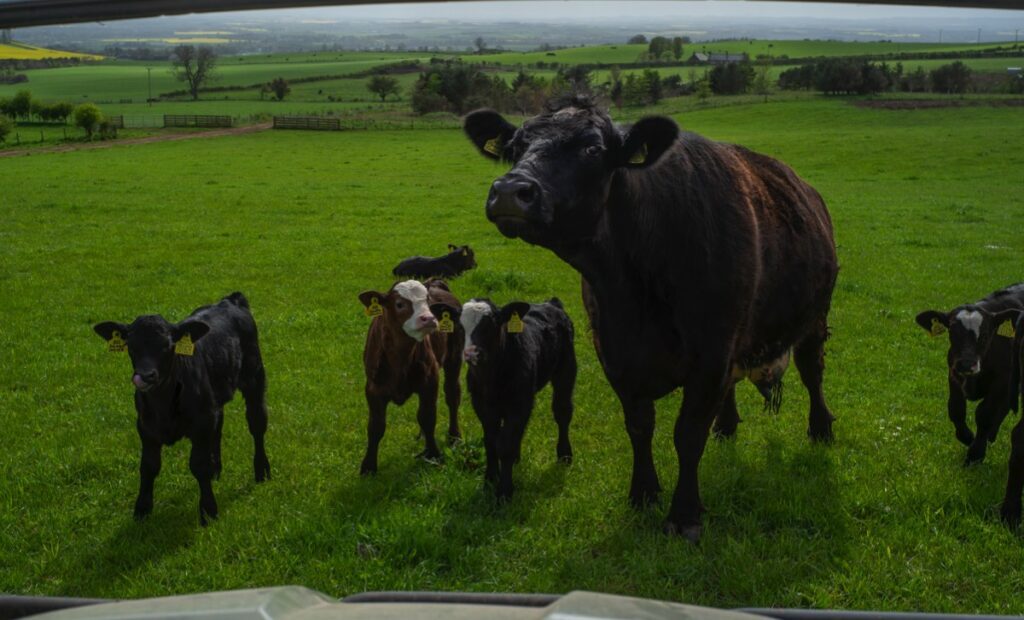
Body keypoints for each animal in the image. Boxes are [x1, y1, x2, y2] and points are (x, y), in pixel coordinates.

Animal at [93, 293, 270, 524]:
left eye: (167, 346)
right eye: (131, 346)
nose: (145, 375)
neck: (163, 404)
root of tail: (230, 300)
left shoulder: (201, 423)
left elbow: (198, 465)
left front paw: (208, 510)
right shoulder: (145, 426)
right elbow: (148, 466)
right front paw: (142, 509)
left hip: (254, 376)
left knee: (257, 423)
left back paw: (262, 470)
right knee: (219, 426)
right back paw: (217, 469)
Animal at [356, 278, 460, 471]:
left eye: (428, 301)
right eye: (399, 304)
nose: (429, 319)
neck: (400, 358)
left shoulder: (430, 381)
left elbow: (427, 417)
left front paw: (433, 454)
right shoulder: (373, 388)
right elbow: (375, 426)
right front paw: (368, 466)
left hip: (454, 358)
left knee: (453, 395)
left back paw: (454, 437)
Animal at [430, 297, 577, 500]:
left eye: (492, 324)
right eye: (460, 326)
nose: (471, 353)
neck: (491, 379)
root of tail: (551, 303)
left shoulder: (519, 403)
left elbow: (505, 445)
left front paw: (504, 492)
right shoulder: (482, 405)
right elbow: (491, 442)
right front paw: (490, 480)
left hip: (566, 370)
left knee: (562, 412)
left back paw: (564, 455)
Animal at [464, 94, 839, 541]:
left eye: (592, 149)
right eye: (515, 147)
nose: (508, 192)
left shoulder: (711, 352)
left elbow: (688, 434)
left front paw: (684, 514)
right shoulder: (615, 352)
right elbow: (640, 426)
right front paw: (643, 492)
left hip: (815, 316)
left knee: (812, 371)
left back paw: (821, 429)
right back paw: (727, 425)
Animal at [913, 282, 1024, 461]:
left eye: (985, 334)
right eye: (952, 332)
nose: (966, 364)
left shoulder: (1002, 381)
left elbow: (985, 413)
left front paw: (975, 453)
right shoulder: (954, 373)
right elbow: (955, 409)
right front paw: (967, 437)